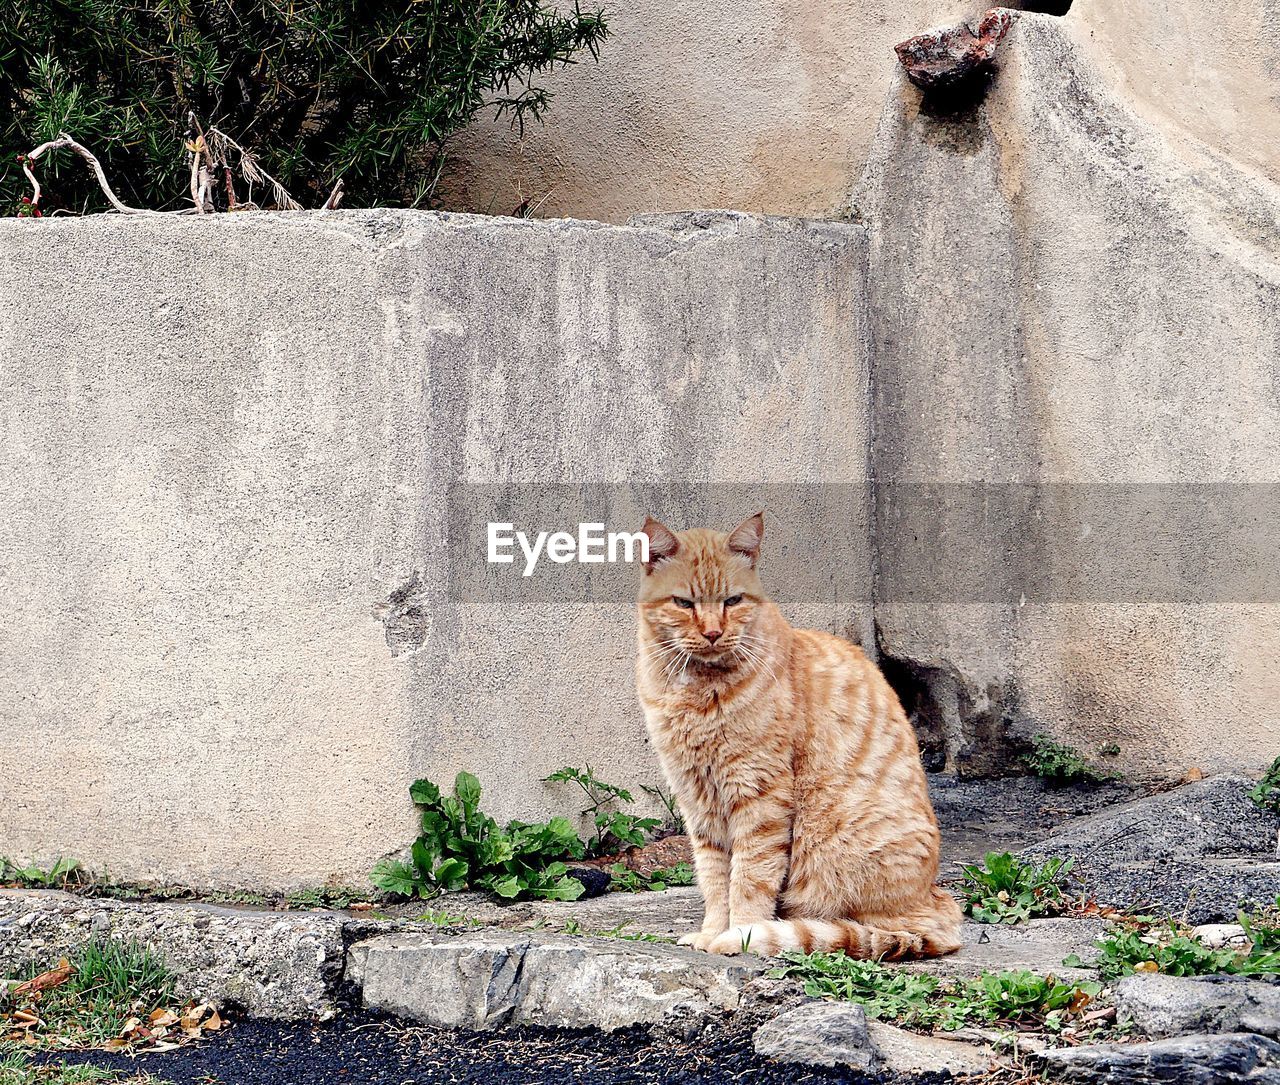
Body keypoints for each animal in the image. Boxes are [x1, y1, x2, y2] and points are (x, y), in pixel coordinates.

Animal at [637, 514, 962, 957]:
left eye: (733, 601)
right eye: (684, 603)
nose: (713, 633)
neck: (697, 690)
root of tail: (941, 904)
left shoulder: (759, 795)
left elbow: (748, 880)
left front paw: (738, 935)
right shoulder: (698, 801)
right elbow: (715, 879)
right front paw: (711, 932)